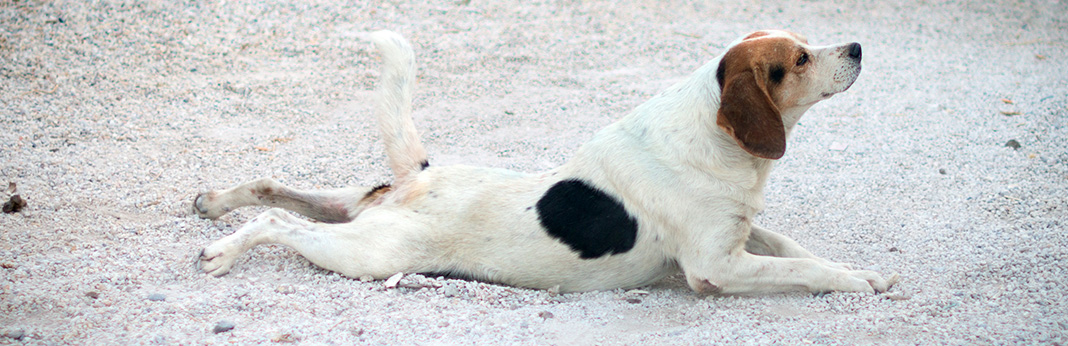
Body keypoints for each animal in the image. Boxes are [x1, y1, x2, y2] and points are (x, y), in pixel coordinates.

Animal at [194, 30, 901, 294]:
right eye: (801, 59)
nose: (859, 47)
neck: (713, 137)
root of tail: (419, 178)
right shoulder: (715, 266)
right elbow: (807, 270)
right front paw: (855, 283)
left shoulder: (742, 232)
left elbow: (798, 250)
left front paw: (863, 271)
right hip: (368, 253)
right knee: (279, 225)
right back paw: (222, 251)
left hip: (354, 208)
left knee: (275, 187)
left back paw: (214, 203)